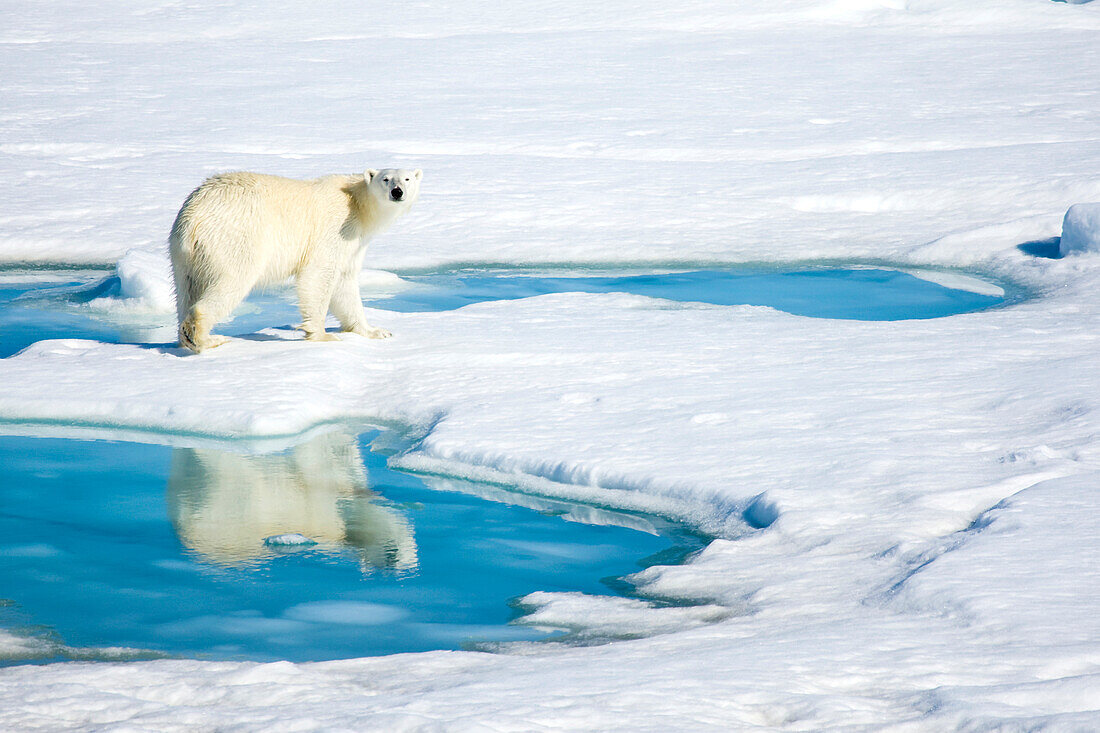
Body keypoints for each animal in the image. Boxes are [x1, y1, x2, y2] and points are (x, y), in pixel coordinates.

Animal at [167, 168, 420, 352]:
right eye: (385, 179)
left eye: (407, 178)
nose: (398, 191)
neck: (357, 204)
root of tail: (194, 214)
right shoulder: (336, 229)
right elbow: (319, 275)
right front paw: (323, 335)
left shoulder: (353, 245)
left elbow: (345, 283)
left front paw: (376, 331)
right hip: (235, 237)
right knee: (232, 280)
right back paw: (208, 339)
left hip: (182, 253)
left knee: (186, 290)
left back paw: (186, 338)